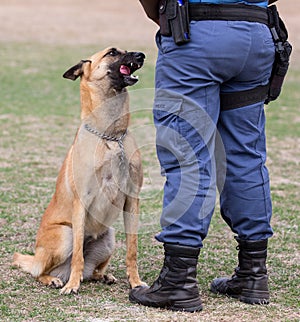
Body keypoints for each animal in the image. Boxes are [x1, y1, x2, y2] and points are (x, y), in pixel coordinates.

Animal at [12, 47, 146, 294]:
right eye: (112, 52)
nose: (141, 54)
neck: (110, 137)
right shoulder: (81, 202)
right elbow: (77, 257)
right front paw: (72, 286)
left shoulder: (132, 199)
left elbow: (131, 250)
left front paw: (135, 282)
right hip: (65, 235)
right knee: (39, 271)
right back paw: (55, 279)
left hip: (108, 238)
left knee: (91, 271)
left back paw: (101, 276)